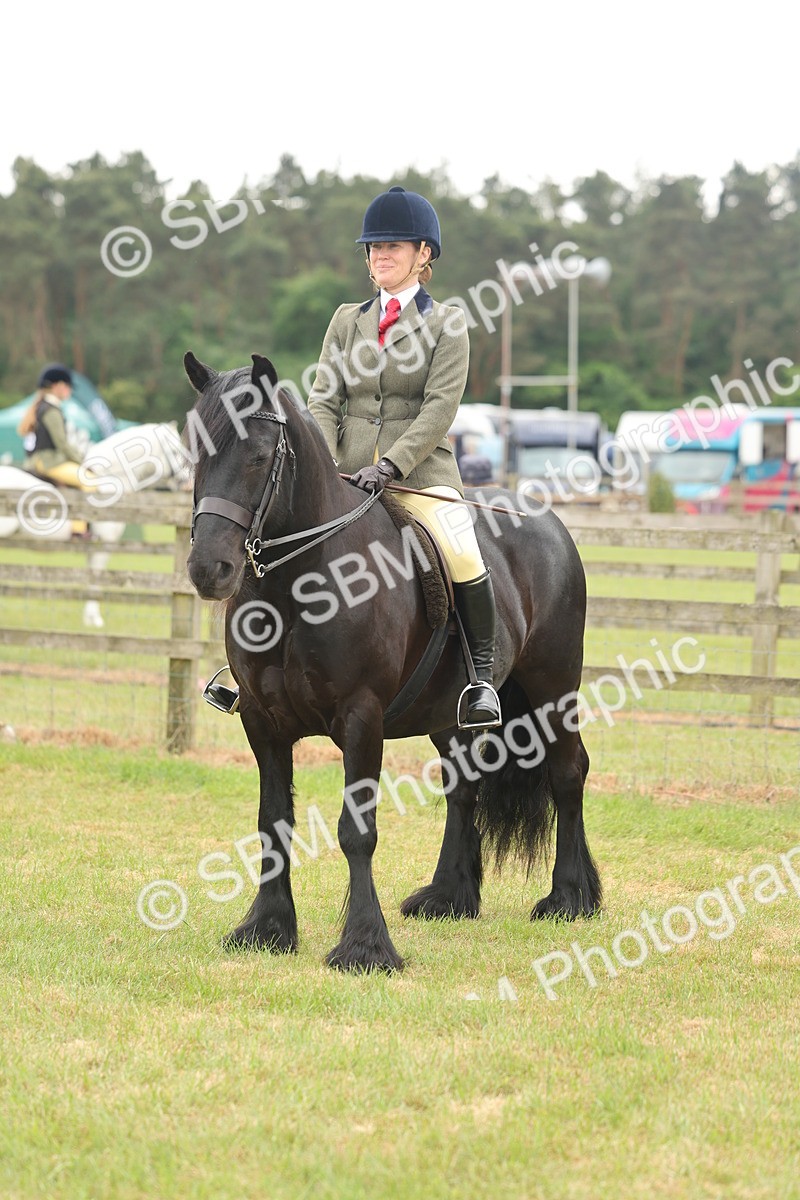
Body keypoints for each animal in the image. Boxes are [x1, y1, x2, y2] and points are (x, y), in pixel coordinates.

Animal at [0, 422, 191, 627]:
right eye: (174, 451)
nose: (187, 483)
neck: (110, 478)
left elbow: (90, 577)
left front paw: (89, 618)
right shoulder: (103, 545)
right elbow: (96, 579)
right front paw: (95, 619)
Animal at [184, 351, 603, 973]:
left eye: (258, 456)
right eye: (196, 453)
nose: (209, 570)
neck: (298, 586)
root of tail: (544, 518)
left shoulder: (362, 718)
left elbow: (357, 832)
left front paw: (364, 945)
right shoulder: (263, 721)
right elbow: (271, 822)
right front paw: (268, 928)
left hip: (553, 688)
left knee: (568, 771)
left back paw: (570, 897)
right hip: (451, 713)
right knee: (464, 786)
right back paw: (450, 896)